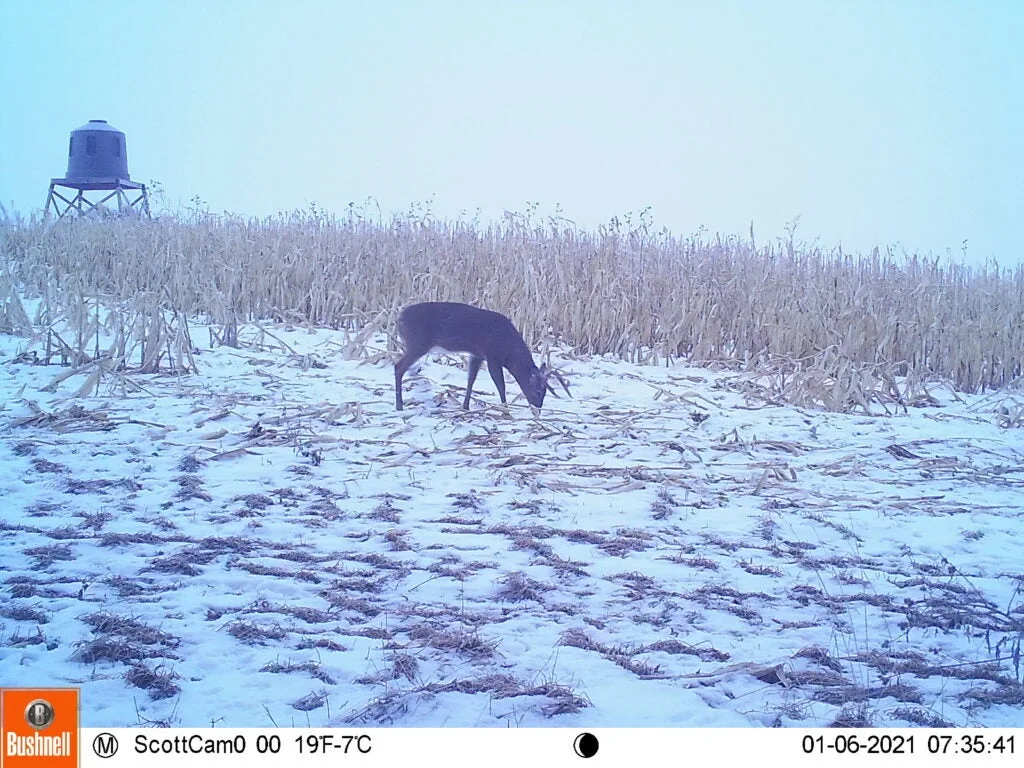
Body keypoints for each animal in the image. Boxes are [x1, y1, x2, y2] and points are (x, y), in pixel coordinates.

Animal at [393, 301, 569, 411]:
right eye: (539, 390)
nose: (538, 406)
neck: (509, 352)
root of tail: (399, 319)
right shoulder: (493, 355)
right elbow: (500, 385)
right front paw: (505, 407)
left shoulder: (477, 355)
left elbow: (471, 379)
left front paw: (466, 406)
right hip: (418, 343)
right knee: (398, 367)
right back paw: (399, 406)